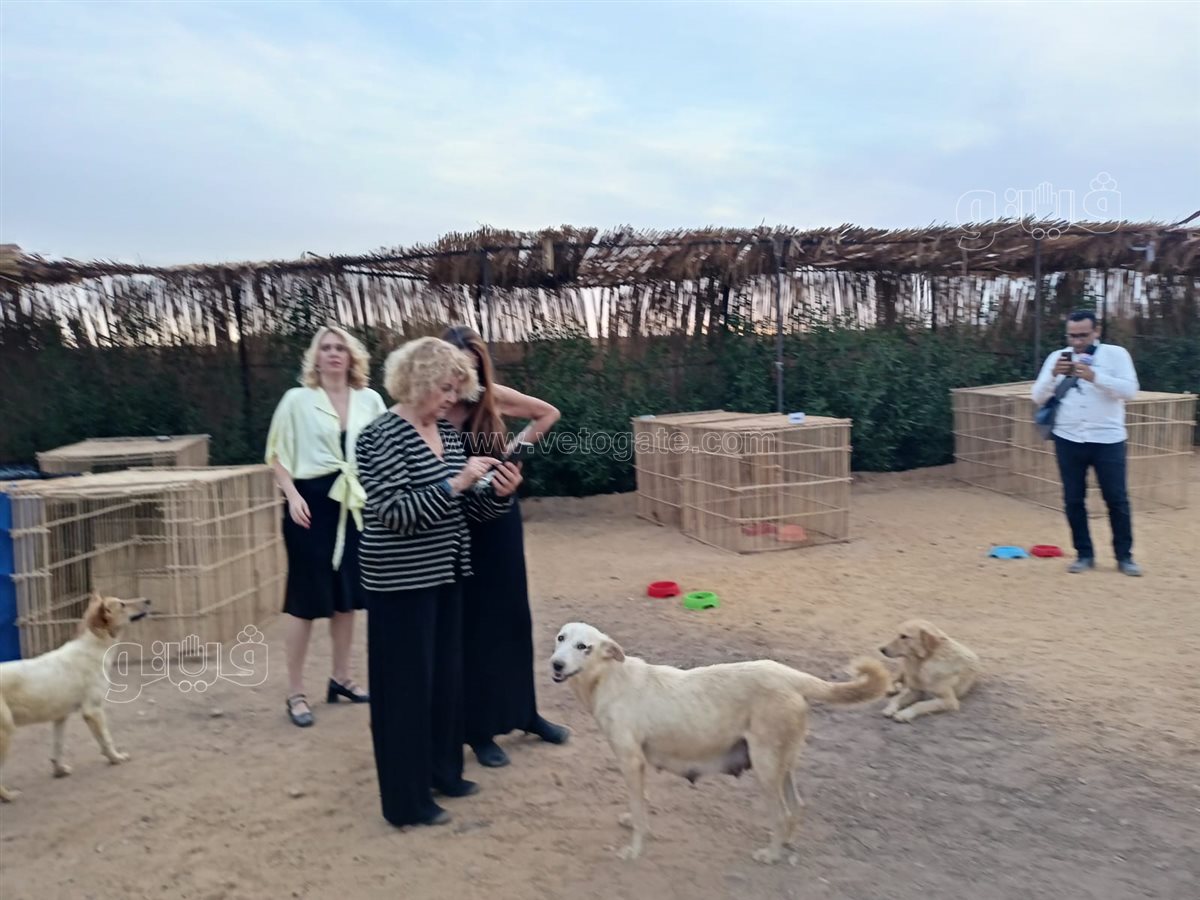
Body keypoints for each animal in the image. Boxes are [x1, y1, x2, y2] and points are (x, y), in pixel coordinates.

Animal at [0, 592, 150, 801]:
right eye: (122, 604)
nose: (149, 600)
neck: (95, 646)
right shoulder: (93, 711)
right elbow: (106, 739)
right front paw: (116, 758)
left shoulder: (60, 717)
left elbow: (58, 748)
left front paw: (59, 771)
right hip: (6, 732)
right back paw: (8, 796)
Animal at [548, 621, 890, 864]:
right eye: (560, 638)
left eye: (583, 646)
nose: (556, 664)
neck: (606, 678)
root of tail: (790, 675)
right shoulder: (638, 764)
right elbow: (641, 801)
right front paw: (634, 820)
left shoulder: (630, 761)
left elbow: (638, 806)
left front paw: (634, 848)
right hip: (783, 765)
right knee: (796, 806)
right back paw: (786, 844)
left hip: (765, 768)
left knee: (780, 813)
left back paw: (771, 855)